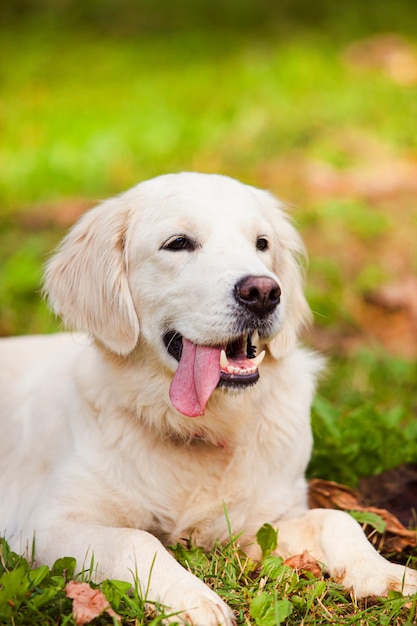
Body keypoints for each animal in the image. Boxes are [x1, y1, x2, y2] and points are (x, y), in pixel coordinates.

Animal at [0, 172, 416, 624]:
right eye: (178, 242)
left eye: (261, 243)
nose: (264, 292)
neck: (200, 425)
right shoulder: (45, 525)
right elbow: (135, 538)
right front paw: (193, 598)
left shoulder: (260, 522)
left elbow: (335, 518)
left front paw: (384, 572)